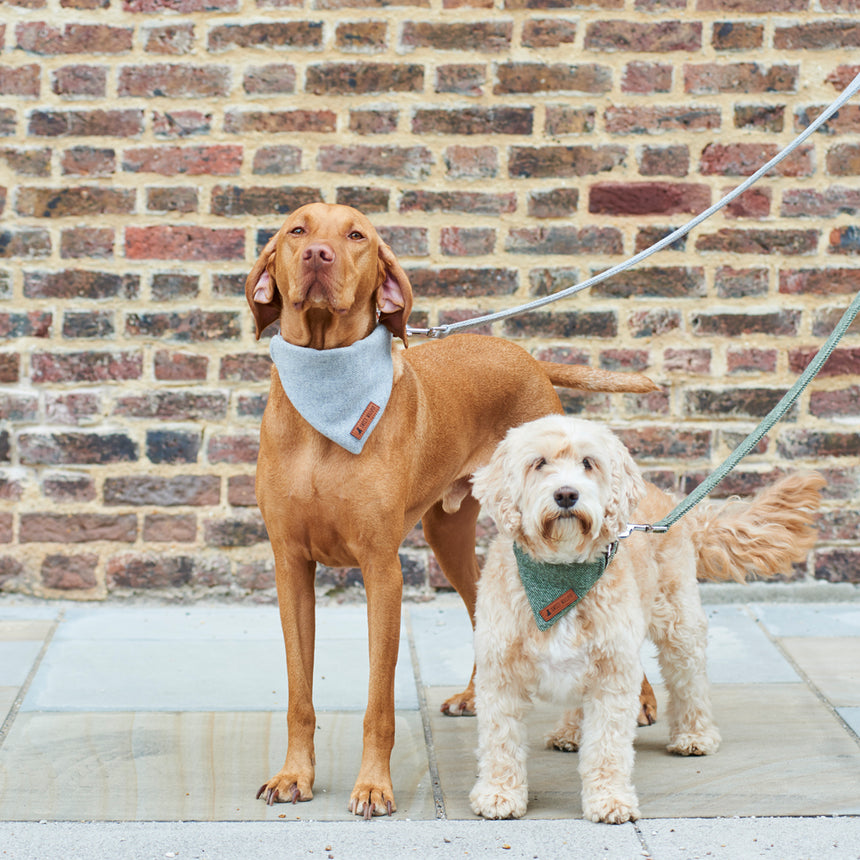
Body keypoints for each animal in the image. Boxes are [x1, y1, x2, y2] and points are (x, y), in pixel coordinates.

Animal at [244, 202, 660, 820]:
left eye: (356, 235)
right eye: (298, 230)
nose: (319, 255)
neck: (326, 381)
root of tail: (527, 357)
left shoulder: (382, 572)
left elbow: (379, 704)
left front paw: (373, 787)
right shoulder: (290, 567)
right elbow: (300, 693)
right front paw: (296, 775)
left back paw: (642, 700)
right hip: (448, 535)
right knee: (476, 610)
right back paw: (473, 693)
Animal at [466, 416, 824, 828]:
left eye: (588, 463)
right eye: (538, 463)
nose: (567, 495)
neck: (560, 578)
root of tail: (672, 505)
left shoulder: (613, 674)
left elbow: (607, 746)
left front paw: (609, 799)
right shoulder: (500, 673)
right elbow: (500, 741)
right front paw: (498, 793)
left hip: (680, 625)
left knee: (690, 682)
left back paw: (695, 735)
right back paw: (571, 731)